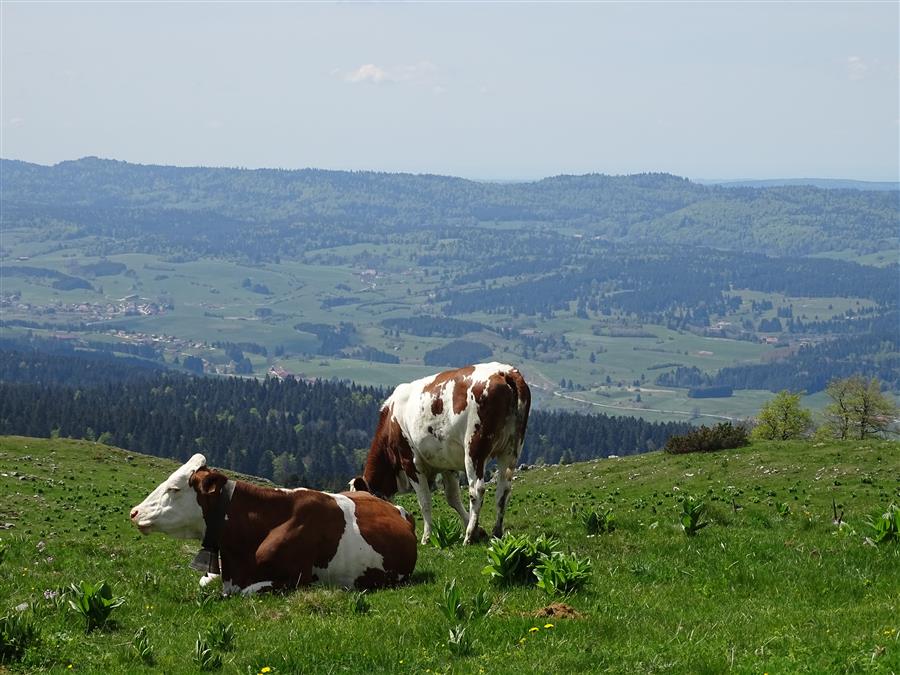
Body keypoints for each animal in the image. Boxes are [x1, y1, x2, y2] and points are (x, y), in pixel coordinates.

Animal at [352, 362, 532, 548]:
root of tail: (504, 372)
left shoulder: (410, 462)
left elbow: (425, 502)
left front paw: (426, 537)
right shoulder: (446, 464)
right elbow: (452, 498)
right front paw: (479, 531)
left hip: (474, 448)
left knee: (477, 489)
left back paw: (469, 536)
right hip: (512, 448)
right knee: (503, 489)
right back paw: (496, 532)